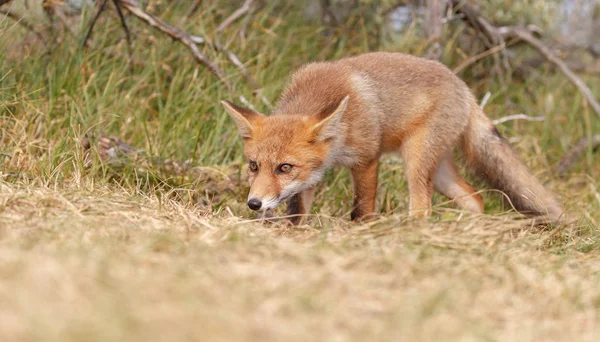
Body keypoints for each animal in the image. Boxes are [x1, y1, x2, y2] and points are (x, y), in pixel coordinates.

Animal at [220, 52, 564, 224]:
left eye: (284, 167)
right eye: (253, 165)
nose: (253, 204)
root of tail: (465, 89)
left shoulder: (367, 159)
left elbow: (362, 210)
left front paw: (362, 232)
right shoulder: (311, 178)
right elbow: (297, 215)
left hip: (417, 162)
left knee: (423, 207)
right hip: (439, 170)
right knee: (474, 199)